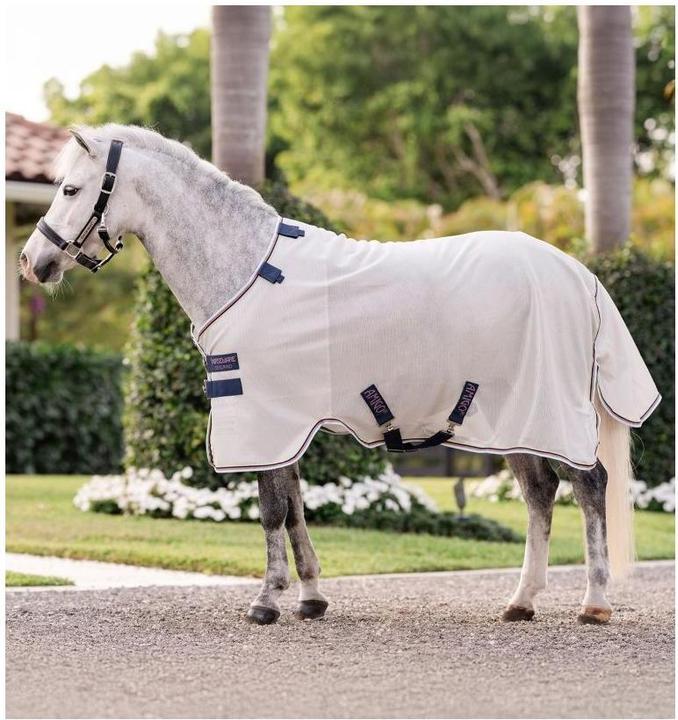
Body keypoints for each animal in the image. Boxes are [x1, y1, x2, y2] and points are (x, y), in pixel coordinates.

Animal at [20, 124, 660, 626]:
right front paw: (310, 597)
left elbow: (272, 510)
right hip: (517, 421)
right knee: (540, 495)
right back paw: (521, 602)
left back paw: (594, 603)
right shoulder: (284, 424)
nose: (33, 262)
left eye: (70, 189)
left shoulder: (264, 418)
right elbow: (295, 506)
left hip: (550, 415)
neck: (246, 268)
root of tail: (578, 273)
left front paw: (266, 602)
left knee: (590, 486)